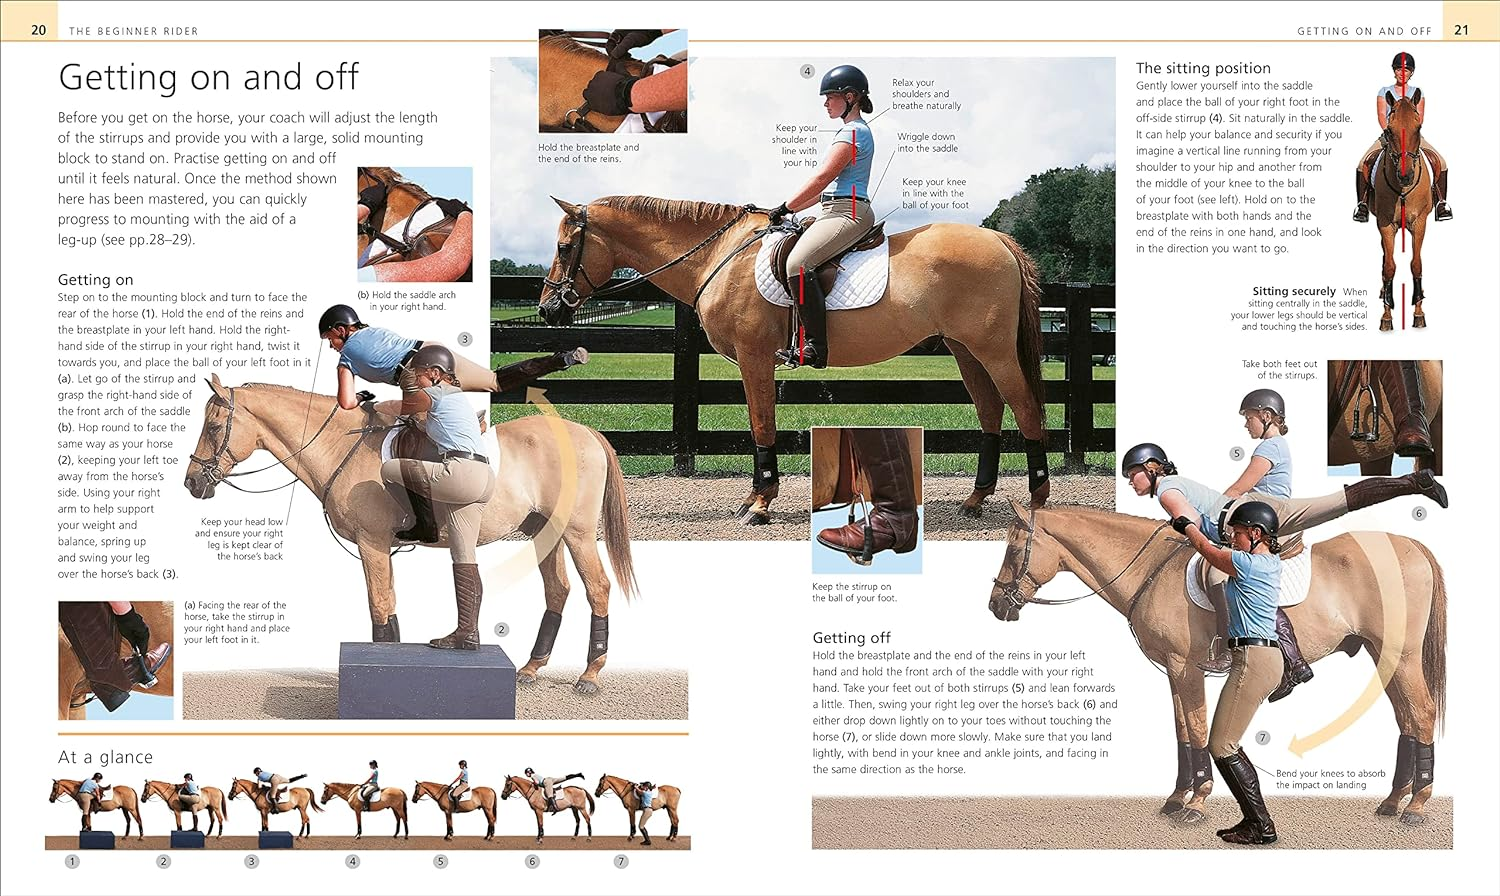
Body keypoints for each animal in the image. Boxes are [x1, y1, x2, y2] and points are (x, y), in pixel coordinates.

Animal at [184, 376, 639, 694]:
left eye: (214, 426)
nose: (192, 482)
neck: (340, 446)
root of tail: (585, 432)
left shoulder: (372, 544)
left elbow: (379, 607)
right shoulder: (380, 549)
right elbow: (389, 608)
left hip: (577, 533)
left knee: (597, 588)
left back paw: (590, 675)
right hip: (544, 532)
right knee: (557, 590)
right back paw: (531, 667)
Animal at [538, 196, 1050, 524]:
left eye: (564, 248)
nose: (547, 310)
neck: (721, 257)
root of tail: (999, 240)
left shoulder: (754, 358)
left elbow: (762, 424)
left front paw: (760, 504)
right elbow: (757, 424)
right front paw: (754, 498)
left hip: (992, 350)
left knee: (1024, 408)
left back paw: (1039, 498)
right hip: (965, 350)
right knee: (990, 410)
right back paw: (976, 499)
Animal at [987, 500, 1446, 826]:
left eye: (1012, 549)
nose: (995, 606)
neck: (1153, 571)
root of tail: (1412, 546)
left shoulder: (1184, 667)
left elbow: (1197, 728)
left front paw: (1198, 801)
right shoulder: (1173, 671)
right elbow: (1183, 732)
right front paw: (1176, 798)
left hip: (1401, 655)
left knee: (1421, 713)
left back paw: (1416, 807)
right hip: (1382, 655)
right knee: (1406, 719)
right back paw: (1393, 801)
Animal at [1369, 92, 1433, 330]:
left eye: (1419, 128)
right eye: (1389, 130)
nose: (1406, 176)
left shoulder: (1420, 223)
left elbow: (1416, 265)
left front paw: (1418, 313)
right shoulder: (1385, 225)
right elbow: (1389, 267)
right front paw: (1386, 317)